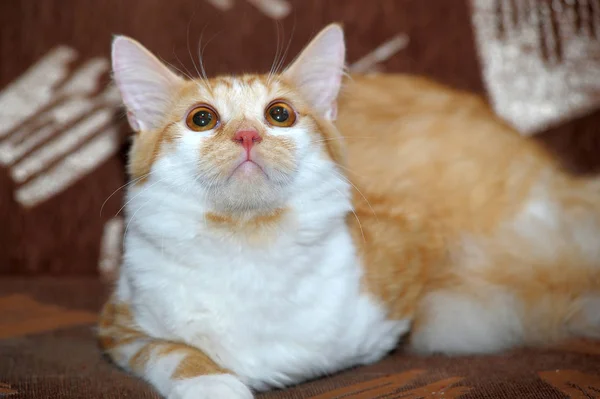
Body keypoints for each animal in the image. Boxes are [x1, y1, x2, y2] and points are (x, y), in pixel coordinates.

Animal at [98, 23, 600, 398]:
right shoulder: (120, 323)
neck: (248, 239)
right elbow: (172, 352)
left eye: (279, 114)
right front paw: (215, 384)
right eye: (201, 119)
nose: (246, 135)